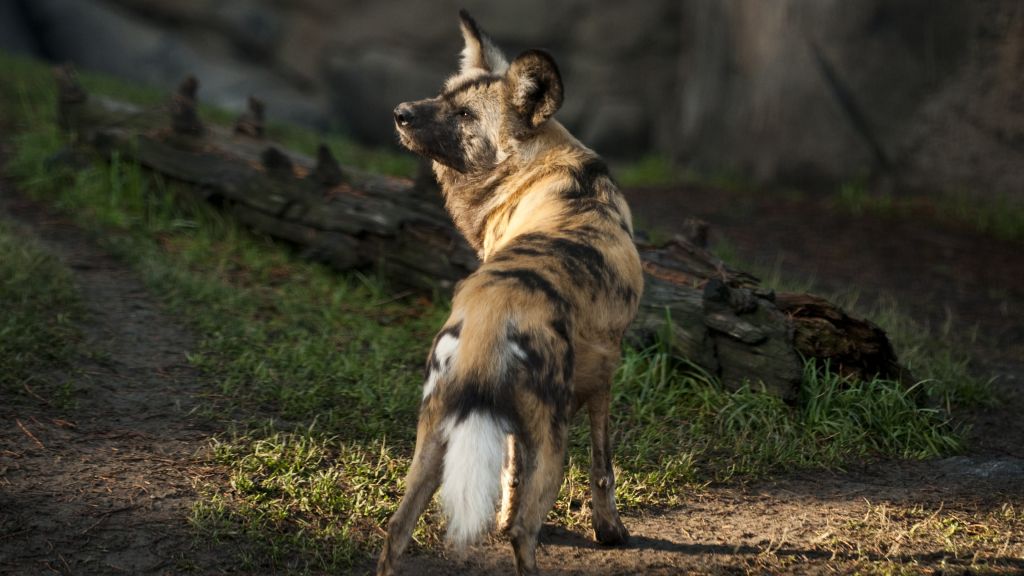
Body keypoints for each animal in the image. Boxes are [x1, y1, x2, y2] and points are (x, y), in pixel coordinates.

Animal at [380, 10, 643, 573]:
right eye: (443, 97)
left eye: (461, 112)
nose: (400, 113)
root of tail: (491, 313)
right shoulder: (604, 380)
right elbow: (603, 468)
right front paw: (609, 531)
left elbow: (507, 471)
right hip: (553, 439)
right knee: (526, 532)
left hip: (435, 432)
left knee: (396, 528)